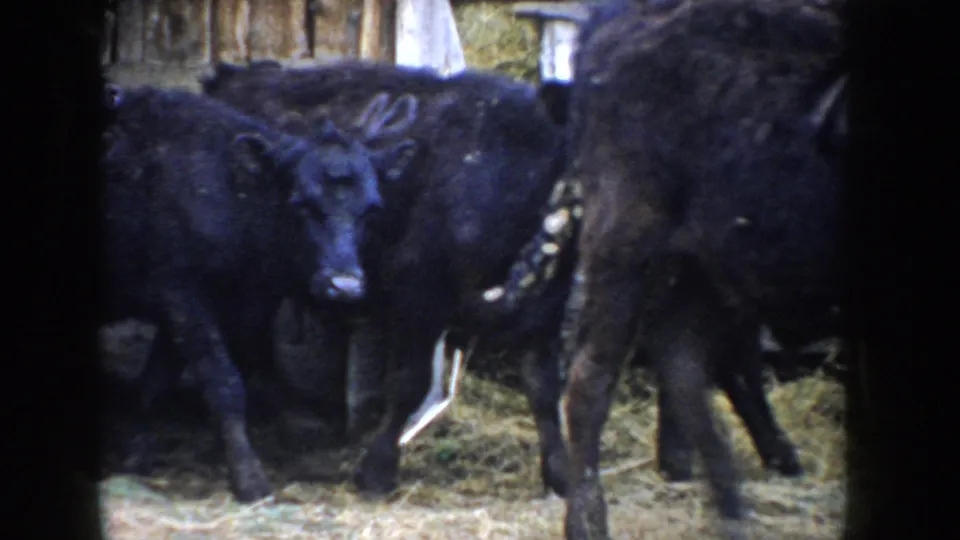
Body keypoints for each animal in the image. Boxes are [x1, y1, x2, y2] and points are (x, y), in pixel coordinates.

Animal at [100, 84, 418, 502]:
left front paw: (136, 451)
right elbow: (224, 381)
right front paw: (248, 476)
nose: (344, 285)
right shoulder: (180, 292)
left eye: (371, 209)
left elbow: (157, 378)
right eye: (302, 204)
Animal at [200, 60, 576, 497]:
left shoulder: (541, 316)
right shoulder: (419, 300)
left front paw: (560, 474)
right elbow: (408, 383)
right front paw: (378, 469)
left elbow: (544, 390)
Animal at [475, 0, 847, 537]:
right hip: (628, 246)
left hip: (696, 266)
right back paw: (589, 517)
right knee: (592, 377)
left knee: (685, 370)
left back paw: (725, 498)